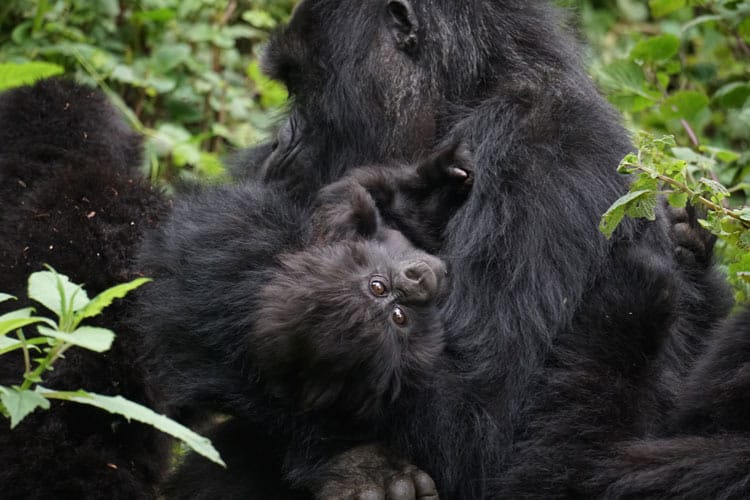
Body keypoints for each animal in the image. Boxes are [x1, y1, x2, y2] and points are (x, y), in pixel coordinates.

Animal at [181, 0, 736, 498]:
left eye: (302, 86)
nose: (278, 145)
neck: (474, 92)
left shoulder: (531, 152)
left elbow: (478, 422)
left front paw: (221, 235)